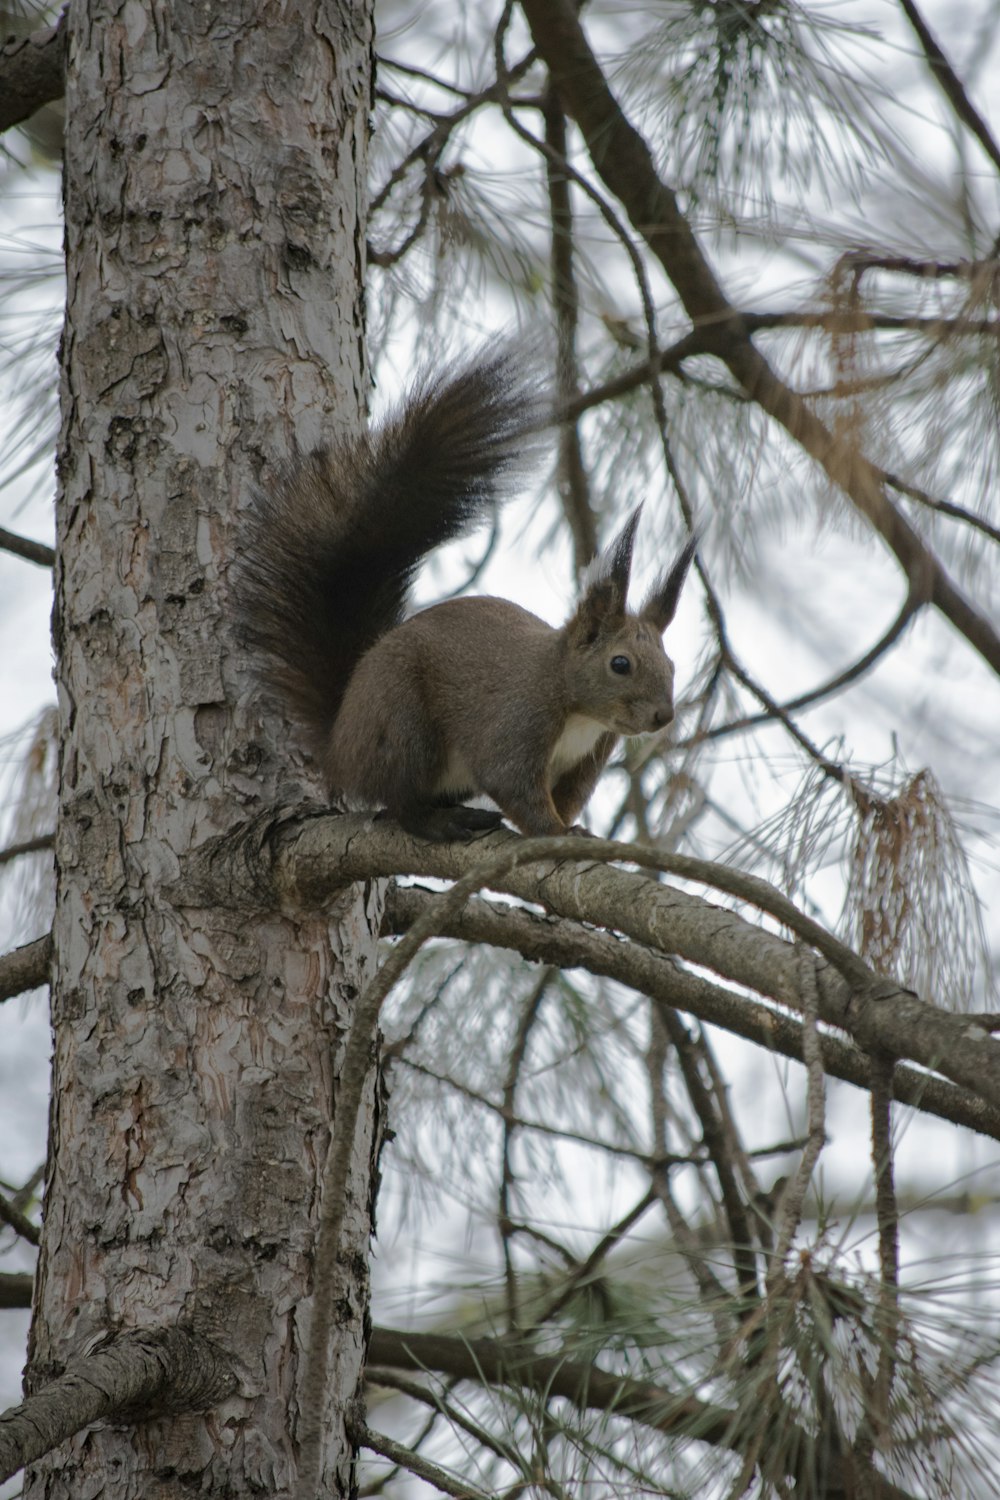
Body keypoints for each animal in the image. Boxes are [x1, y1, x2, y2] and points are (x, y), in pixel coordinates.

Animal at [239, 351, 695, 846]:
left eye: (671, 665)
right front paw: (556, 832)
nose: (663, 716)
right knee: (402, 804)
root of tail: (340, 742)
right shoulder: (517, 724)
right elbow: (513, 786)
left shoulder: (587, 758)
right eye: (620, 664)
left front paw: (573, 826)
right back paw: (444, 822)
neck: (576, 707)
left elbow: (567, 796)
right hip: (403, 726)